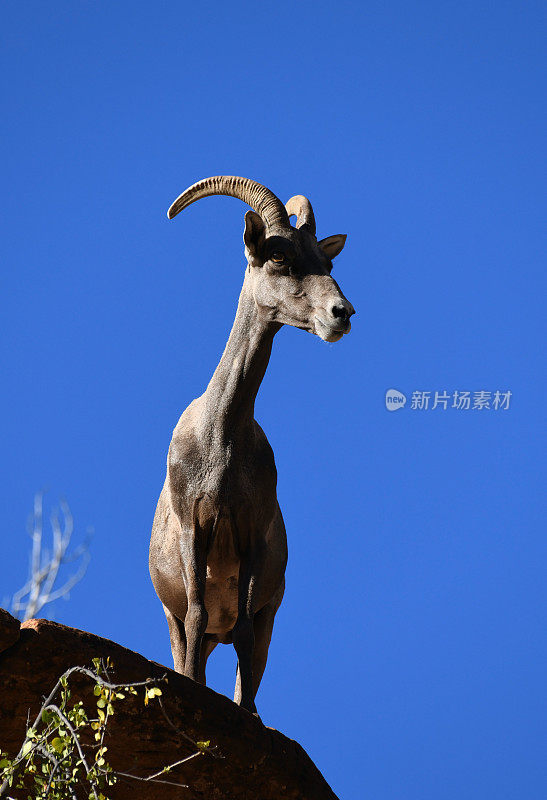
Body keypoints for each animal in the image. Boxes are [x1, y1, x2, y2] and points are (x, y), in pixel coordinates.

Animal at [150, 177, 356, 712]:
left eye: (326, 263)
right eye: (279, 255)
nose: (342, 314)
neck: (220, 443)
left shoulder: (252, 538)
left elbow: (241, 634)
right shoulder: (194, 529)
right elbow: (199, 617)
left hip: (269, 621)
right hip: (174, 622)